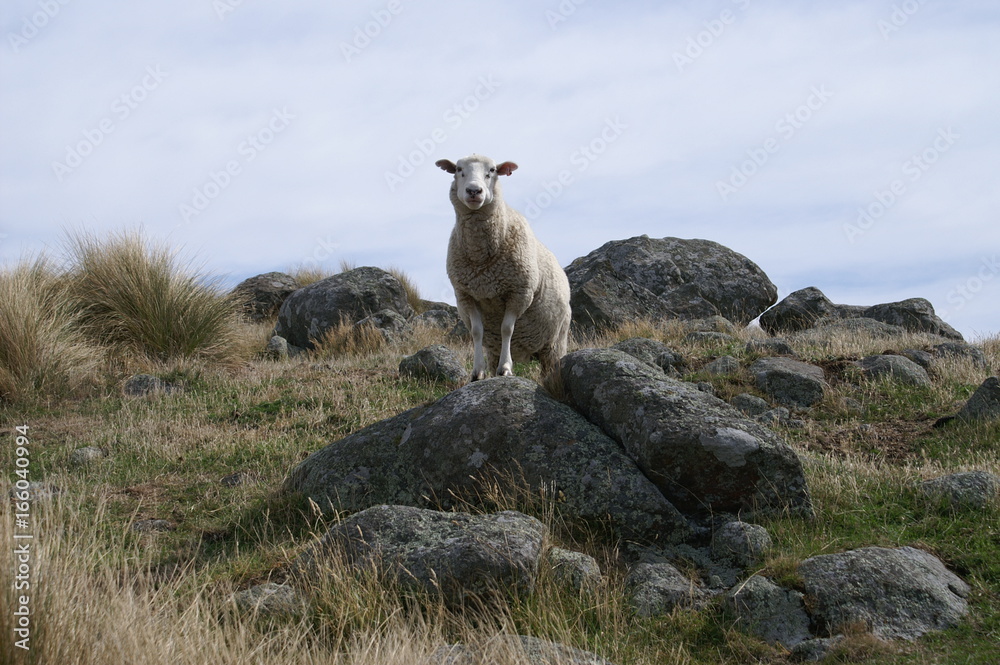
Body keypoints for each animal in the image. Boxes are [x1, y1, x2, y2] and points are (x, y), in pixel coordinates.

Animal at [436, 154, 571, 380]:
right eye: (458, 170)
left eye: (492, 170)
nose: (474, 191)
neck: (481, 258)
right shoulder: (468, 296)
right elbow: (476, 332)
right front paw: (477, 372)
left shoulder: (518, 293)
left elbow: (507, 329)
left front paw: (506, 368)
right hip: (496, 347)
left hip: (555, 344)